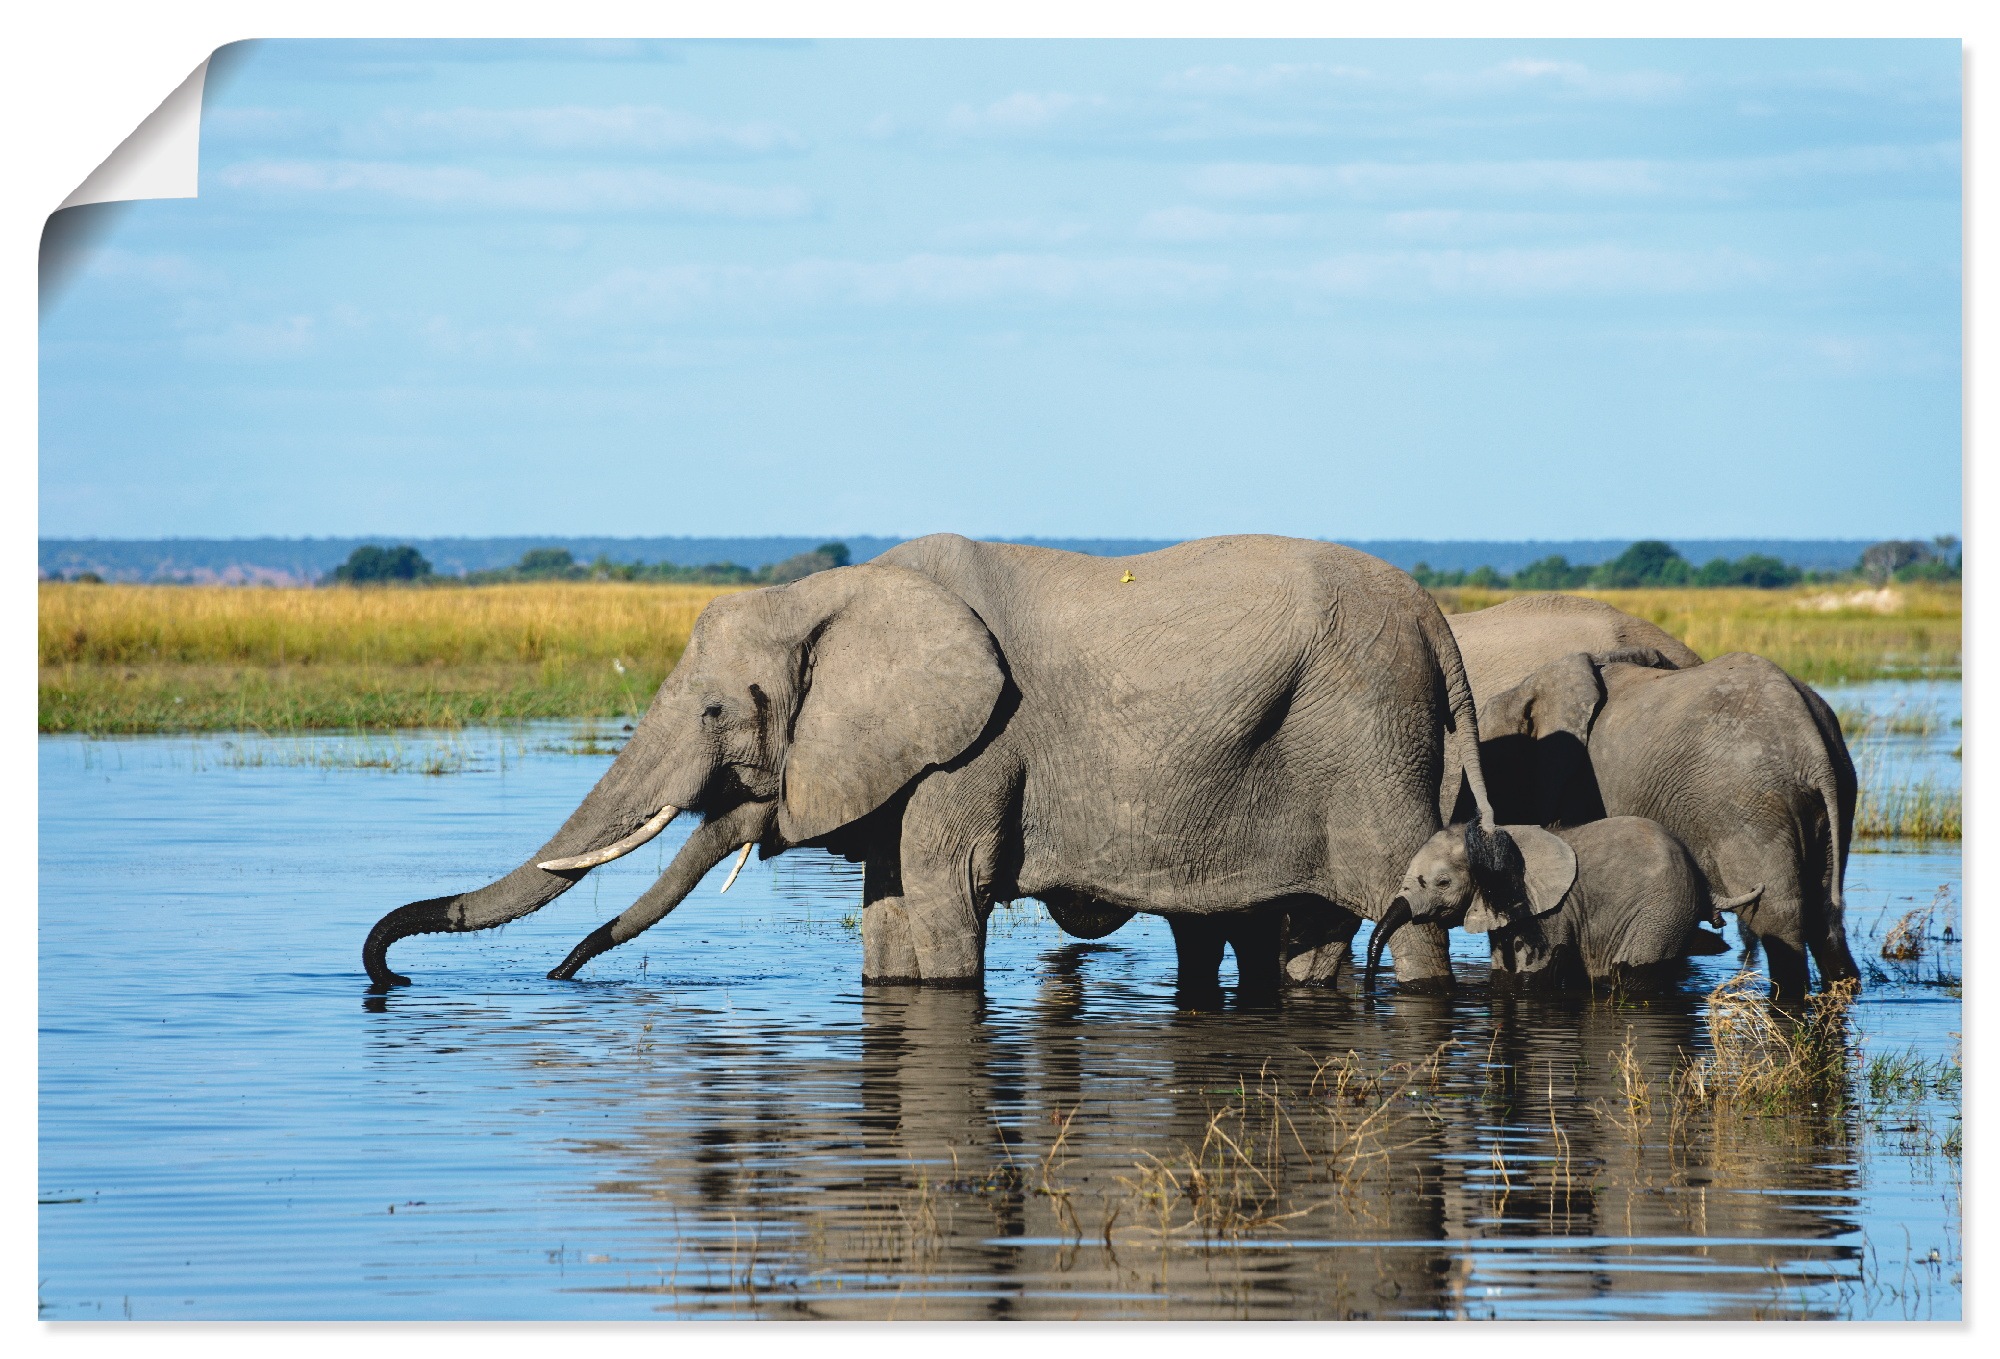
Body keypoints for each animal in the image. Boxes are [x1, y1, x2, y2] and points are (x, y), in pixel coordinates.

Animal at [364, 535, 1504, 991]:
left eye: (716, 708)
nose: (386, 970)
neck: (830, 591)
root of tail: (1437, 621)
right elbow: (885, 912)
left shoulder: (976, 748)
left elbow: (942, 896)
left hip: (1364, 734)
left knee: (1402, 910)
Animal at [1368, 811, 1760, 991]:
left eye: (1443, 882)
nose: (1370, 993)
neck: (1495, 840)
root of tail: (1699, 874)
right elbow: (1505, 974)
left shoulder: (1550, 912)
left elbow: (1533, 976)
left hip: (1662, 912)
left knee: (1634, 974)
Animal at [1472, 651, 1856, 991]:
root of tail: (1811, 746)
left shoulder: (1581, 782)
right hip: (1835, 794)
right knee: (1826, 913)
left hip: (1749, 805)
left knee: (1776, 918)